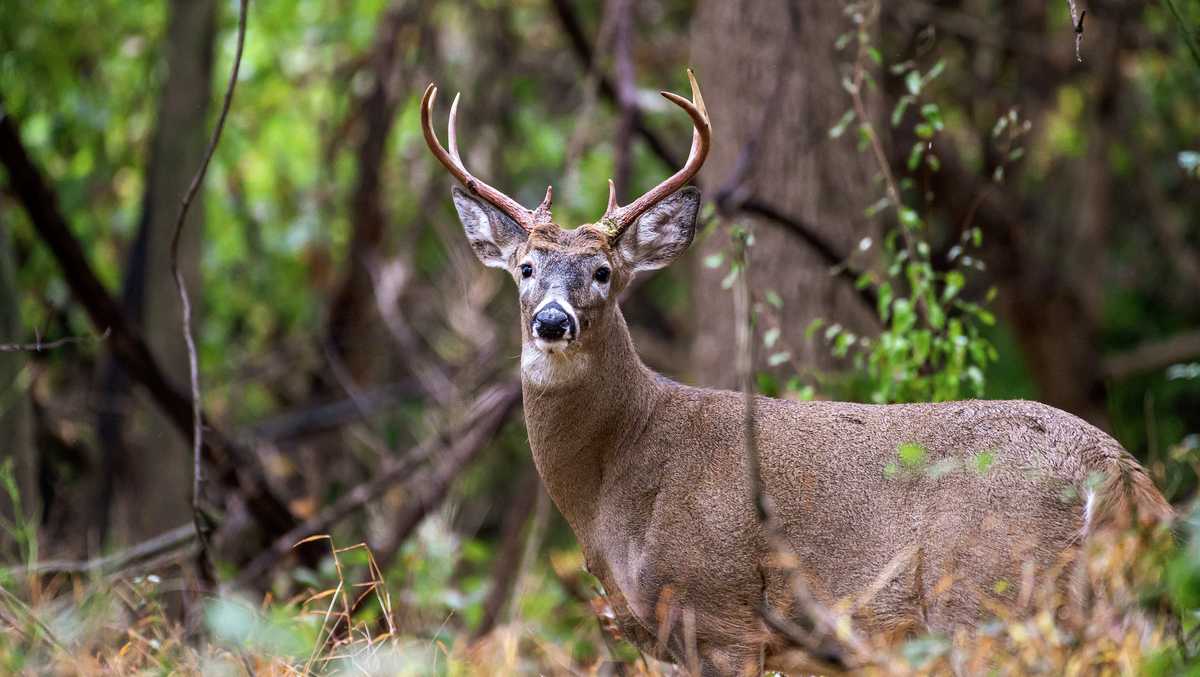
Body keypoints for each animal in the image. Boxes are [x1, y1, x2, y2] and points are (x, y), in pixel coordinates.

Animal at [419, 70, 1172, 675]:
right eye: (524, 269)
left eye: (603, 272)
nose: (552, 322)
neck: (618, 478)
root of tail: (1120, 473)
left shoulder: (720, 613)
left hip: (991, 595)